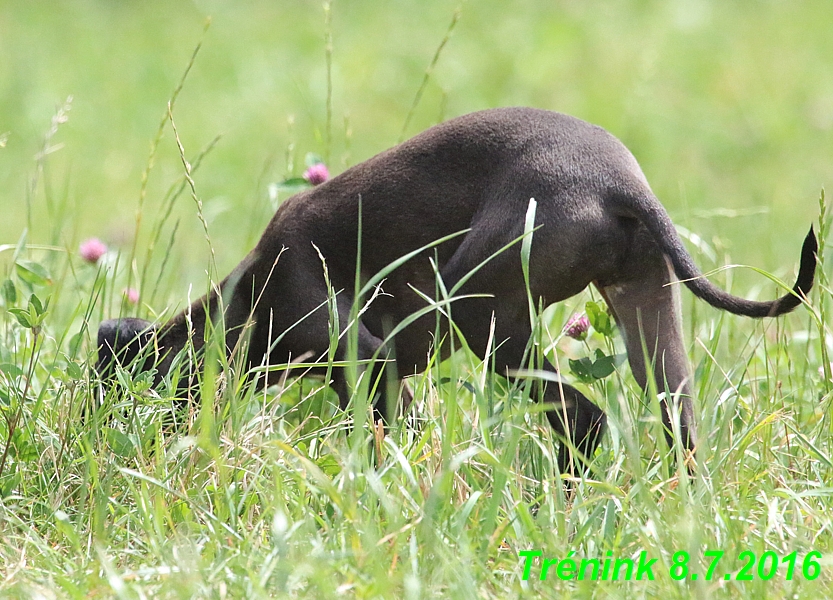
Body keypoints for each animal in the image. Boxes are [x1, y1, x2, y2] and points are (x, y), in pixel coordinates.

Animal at [96, 109, 812, 474]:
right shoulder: (392, 377)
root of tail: (618, 183)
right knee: (678, 425)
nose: (103, 444)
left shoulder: (367, 359)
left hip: (484, 317)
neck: (250, 293)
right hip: (647, 312)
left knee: (583, 418)